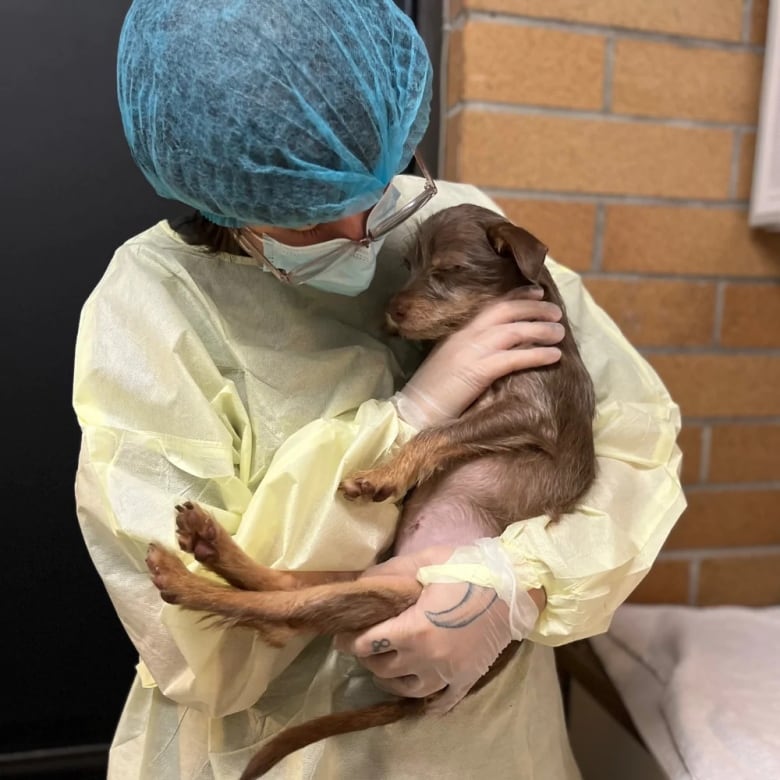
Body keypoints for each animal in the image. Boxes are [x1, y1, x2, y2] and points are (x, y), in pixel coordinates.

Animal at [146, 204, 596, 776]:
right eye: (408, 265)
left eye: (448, 272)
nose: (392, 312)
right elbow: (436, 424)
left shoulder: (532, 409)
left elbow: (437, 432)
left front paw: (381, 475)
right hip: (360, 576)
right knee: (283, 589)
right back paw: (207, 543)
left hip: (391, 594)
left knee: (281, 612)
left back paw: (183, 578)